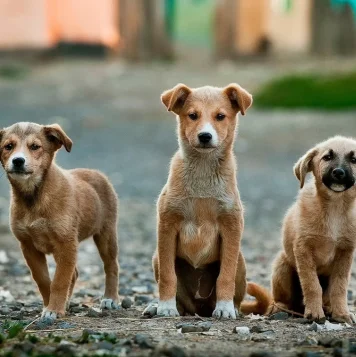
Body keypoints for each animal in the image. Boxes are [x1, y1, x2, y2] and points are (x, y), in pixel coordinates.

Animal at [0, 122, 120, 320]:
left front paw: (54, 309)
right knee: (75, 273)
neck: (34, 197)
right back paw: (68, 302)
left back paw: (111, 298)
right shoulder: (28, 246)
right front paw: (50, 305)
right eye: (8, 146)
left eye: (35, 146)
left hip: (106, 234)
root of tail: (95, 172)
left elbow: (59, 280)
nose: (18, 161)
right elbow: (43, 279)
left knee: (111, 266)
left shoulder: (66, 243)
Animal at [145, 83, 258, 318]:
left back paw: (231, 308)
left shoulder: (232, 226)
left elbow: (225, 276)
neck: (203, 173)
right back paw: (158, 306)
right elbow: (168, 276)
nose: (205, 136)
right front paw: (166, 307)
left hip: (240, 260)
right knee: (181, 300)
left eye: (220, 116)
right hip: (156, 258)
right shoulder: (167, 225)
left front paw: (224, 308)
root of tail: (200, 308)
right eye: (193, 115)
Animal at [270, 136, 356, 322]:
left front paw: (341, 313)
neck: (335, 208)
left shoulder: (345, 252)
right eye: (327, 157)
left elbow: (340, 286)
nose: (339, 172)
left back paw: (328, 308)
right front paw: (314, 312)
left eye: (354, 160)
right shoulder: (303, 249)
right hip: (282, 266)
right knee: (282, 299)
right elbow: (311, 284)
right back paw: (280, 308)